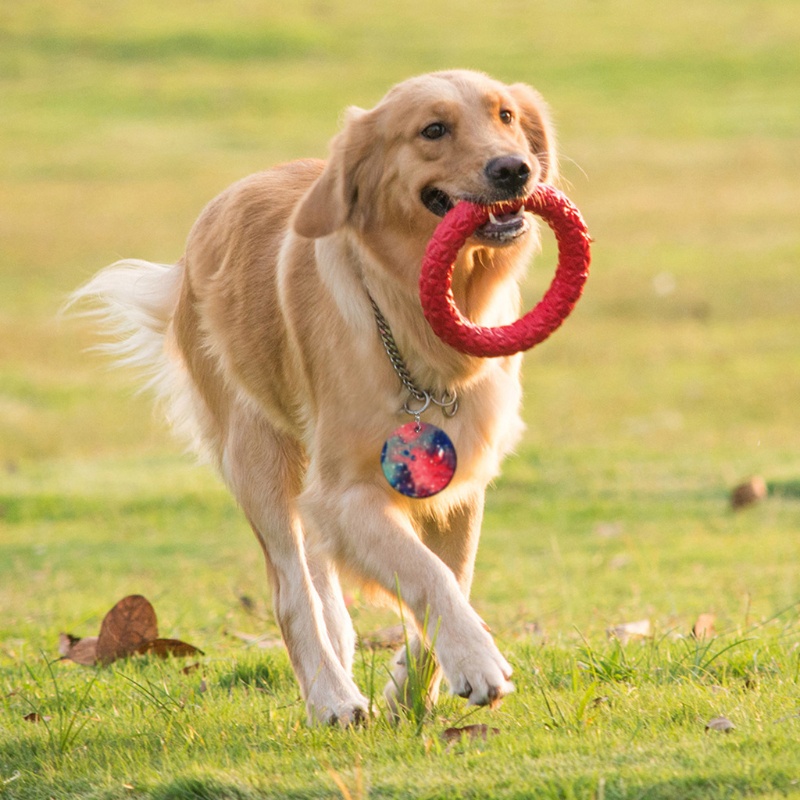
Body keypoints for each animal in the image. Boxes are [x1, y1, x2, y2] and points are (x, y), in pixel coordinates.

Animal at [75, 70, 556, 724]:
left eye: (505, 116)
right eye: (433, 130)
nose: (514, 169)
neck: (412, 321)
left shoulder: (460, 483)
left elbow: (452, 574)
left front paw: (412, 686)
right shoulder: (346, 492)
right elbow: (425, 573)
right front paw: (477, 661)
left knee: (324, 584)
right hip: (258, 459)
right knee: (292, 591)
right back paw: (331, 696)